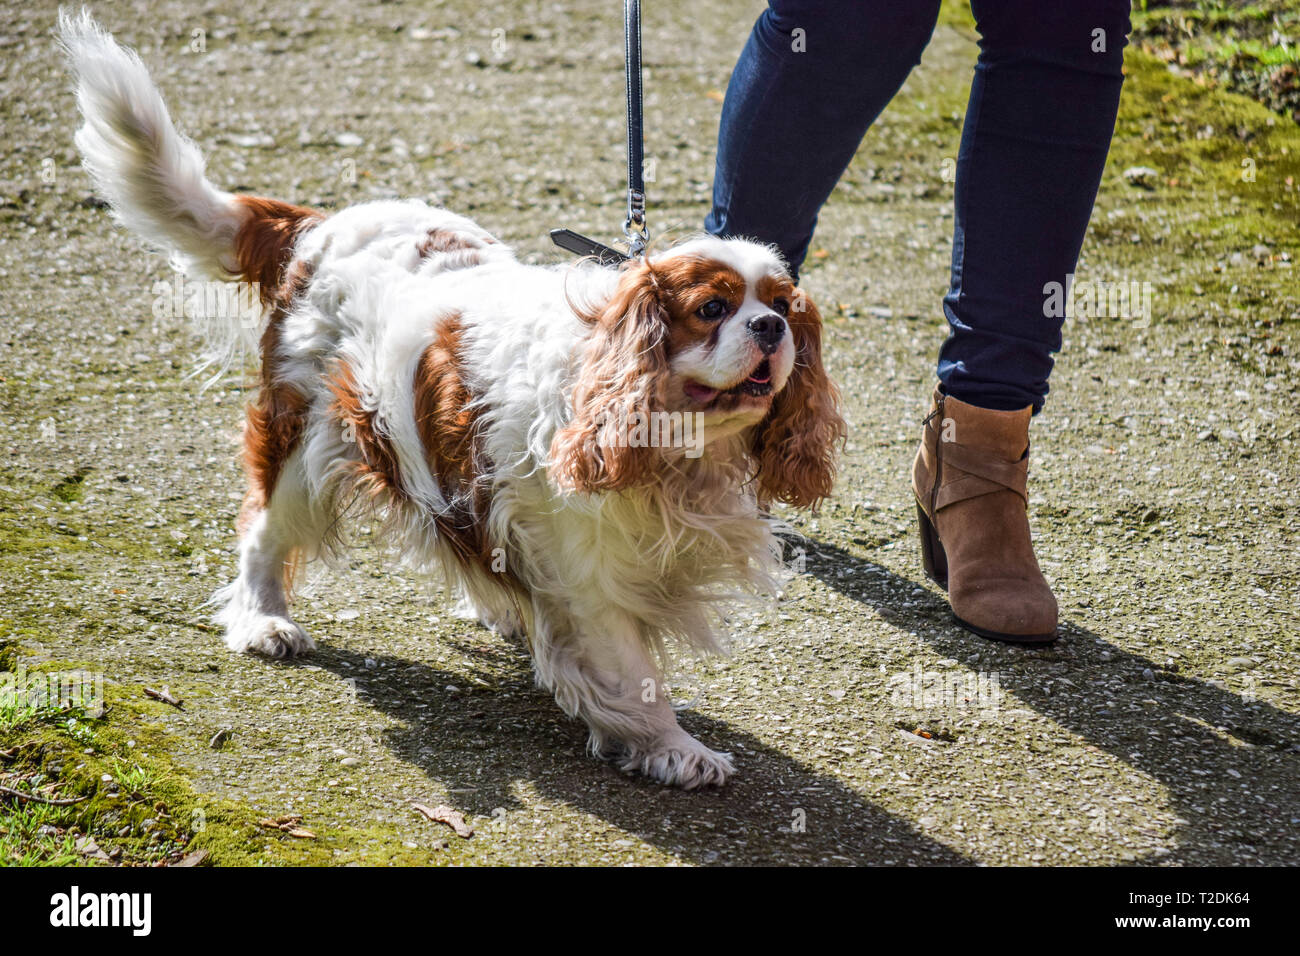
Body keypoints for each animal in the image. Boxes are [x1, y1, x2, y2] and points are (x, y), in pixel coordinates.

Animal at [58, 9, 842, 785]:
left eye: (782, 303)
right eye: (712, 309)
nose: (770, 327)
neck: (676, 450)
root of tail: (317, 226)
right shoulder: (588, 572)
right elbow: (628, 670)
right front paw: (673, 748)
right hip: (307, 435)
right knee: (263, 528)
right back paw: (263, 620)